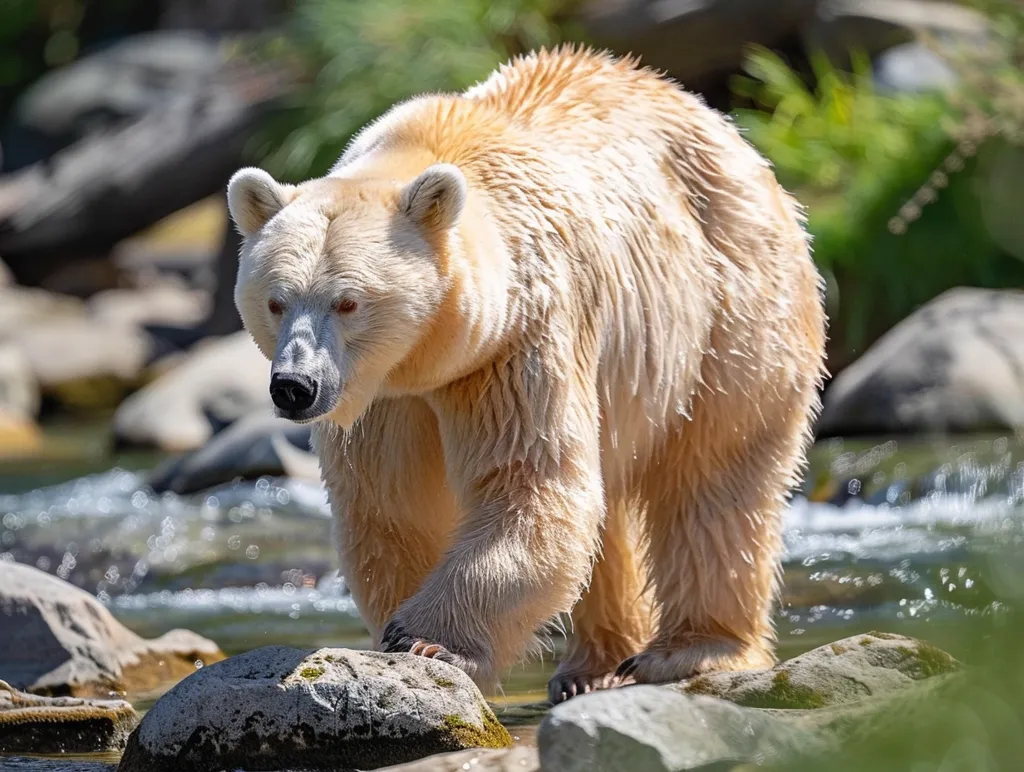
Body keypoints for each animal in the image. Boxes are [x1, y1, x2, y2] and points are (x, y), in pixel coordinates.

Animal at [226, 45, 827, 704]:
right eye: (276, 300)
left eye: (348, 301)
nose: (294, 386)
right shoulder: (385, 396)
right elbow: (391, 501)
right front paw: (398, 630)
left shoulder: (519, 338)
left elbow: (528, 481)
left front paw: (428, 641)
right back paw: (592, 667)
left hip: (732, 303)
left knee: (716, 471)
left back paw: (690, 649)